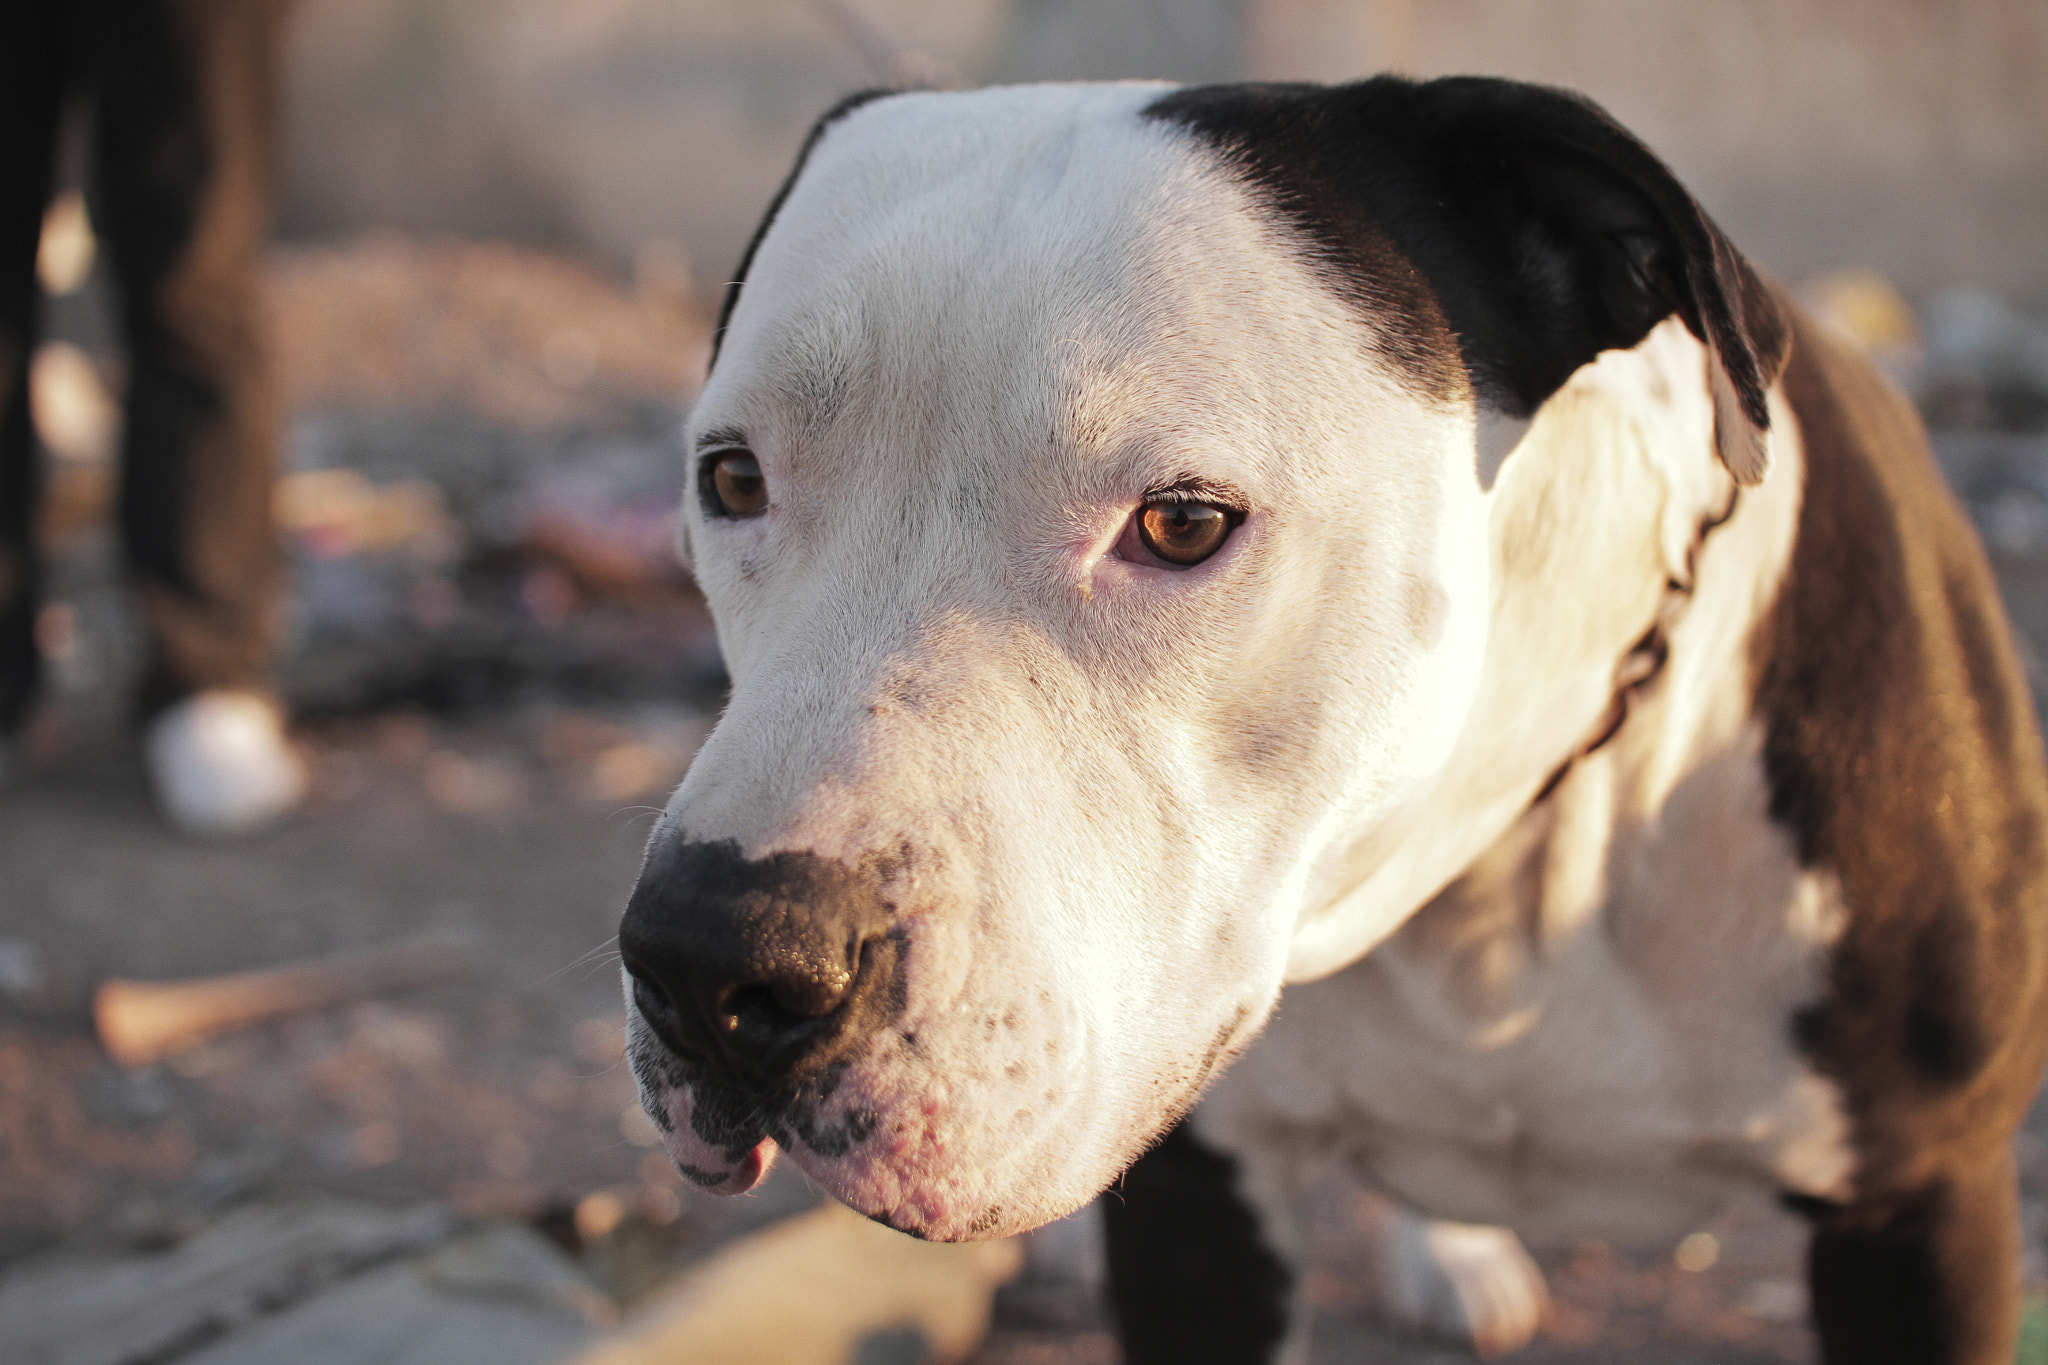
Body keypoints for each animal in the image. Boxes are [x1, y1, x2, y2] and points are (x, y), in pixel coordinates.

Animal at [614, 77, 2048, 1365]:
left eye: (1180, 523)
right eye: (730, 480)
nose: (711, 961)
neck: (1491, 877)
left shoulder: (1921, 1209)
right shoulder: (1198, 1201)